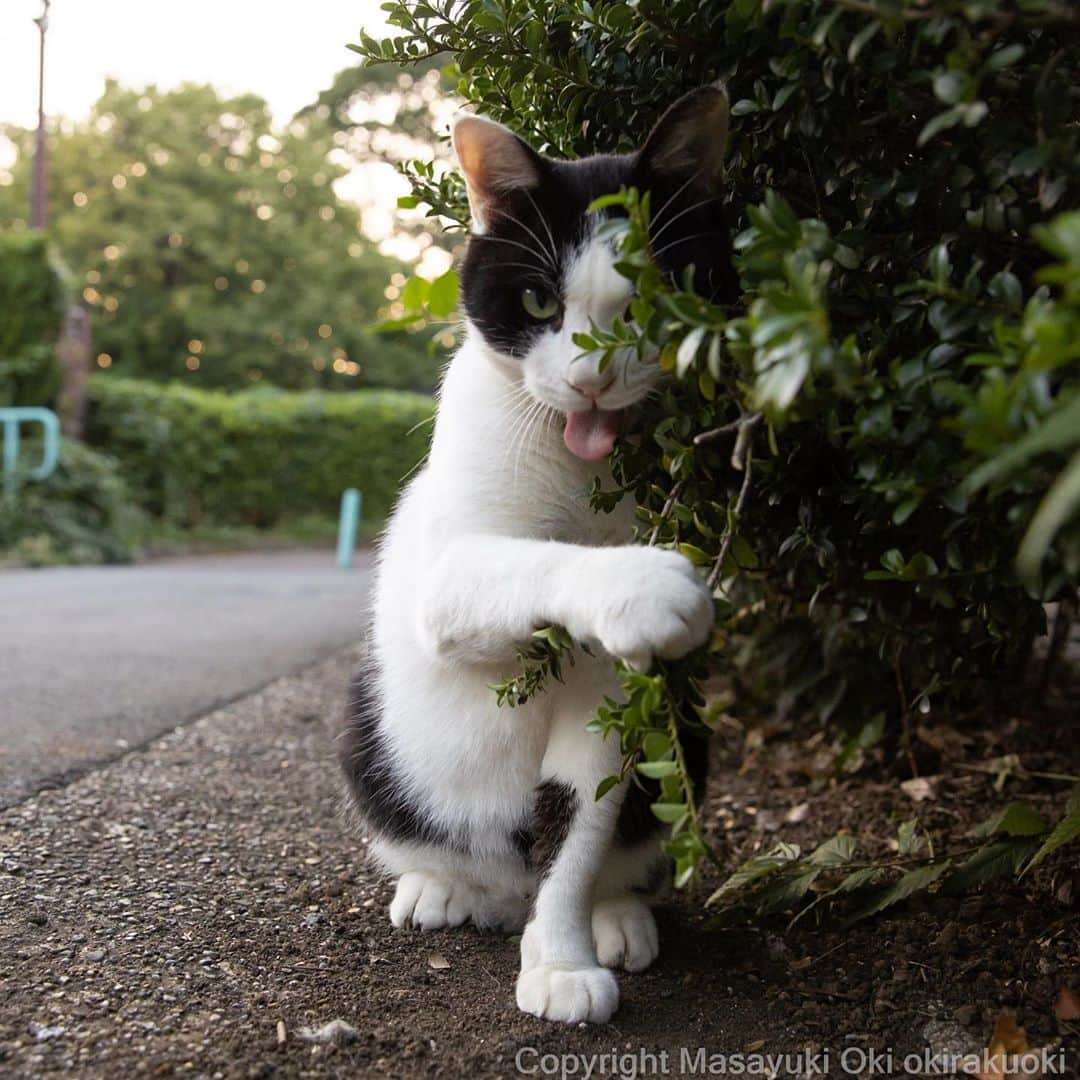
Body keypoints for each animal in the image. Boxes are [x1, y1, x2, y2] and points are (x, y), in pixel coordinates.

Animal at [341, 88, 738, 1023]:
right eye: (535, 303)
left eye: (653, 300)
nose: (591, 381)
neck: (580, 473)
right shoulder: (453, 574)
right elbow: (532, 560)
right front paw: (645, 583)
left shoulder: (616, 696)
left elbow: (577, 831)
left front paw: (559, 958)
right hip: (366, 730)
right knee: (430, 839)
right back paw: (442, 889)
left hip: (685, 734)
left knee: (600, 850)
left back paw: (616, 916)